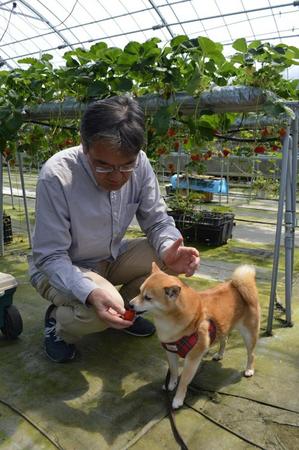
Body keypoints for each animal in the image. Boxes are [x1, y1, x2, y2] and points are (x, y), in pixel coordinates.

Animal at [131, 262, 260, 410]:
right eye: (139, 291)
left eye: (147, 298)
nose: (129, 304)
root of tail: (236, 286)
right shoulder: (171, 351)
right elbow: (173, 372)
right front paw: (170, 384)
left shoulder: (192, 359)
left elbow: (184, 381)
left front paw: (178, 399)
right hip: (223, 327)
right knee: (225, 340)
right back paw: (219, 354)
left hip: (249, 334)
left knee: (251, 354)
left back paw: (249, 369)